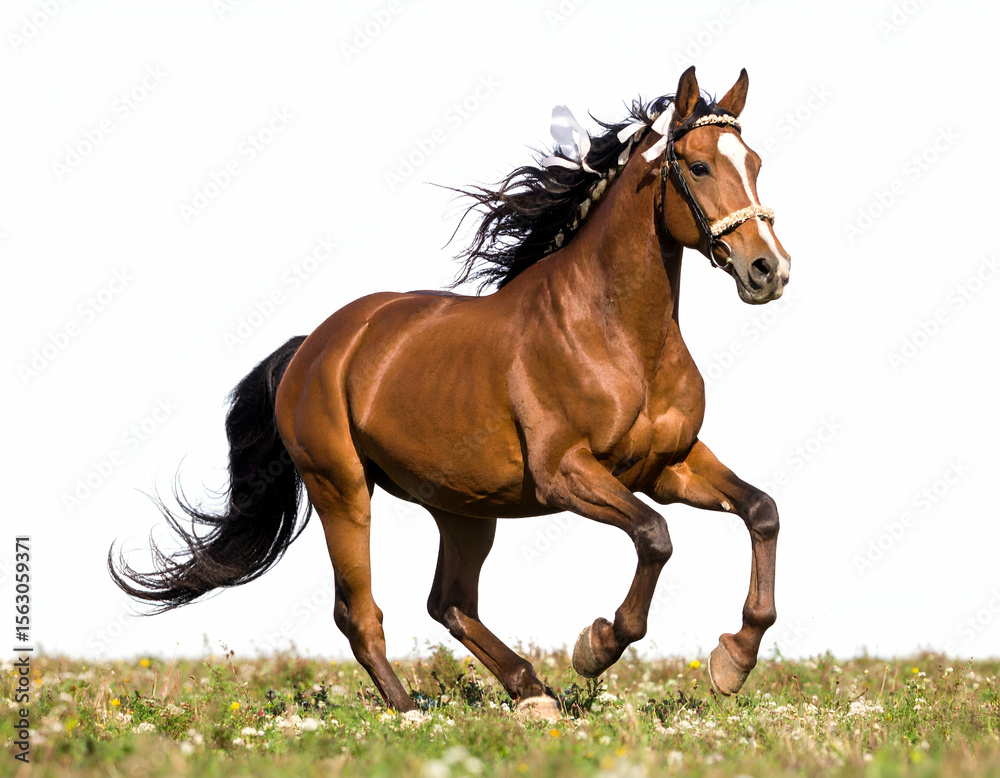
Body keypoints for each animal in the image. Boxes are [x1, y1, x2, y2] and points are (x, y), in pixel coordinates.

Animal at [110, 66, 790, 719]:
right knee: (360, 613)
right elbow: (655, 535)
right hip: (343, 491)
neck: (617, 335)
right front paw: (596, 645)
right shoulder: (566, 473)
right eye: (698, 166)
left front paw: (734, 660)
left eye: (756, 163)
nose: (769, 269)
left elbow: (761, 511)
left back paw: (531, 693)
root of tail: (312, 347)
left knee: (450, 603)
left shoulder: (668, 466)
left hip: (464, 508)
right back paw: (411, 712)